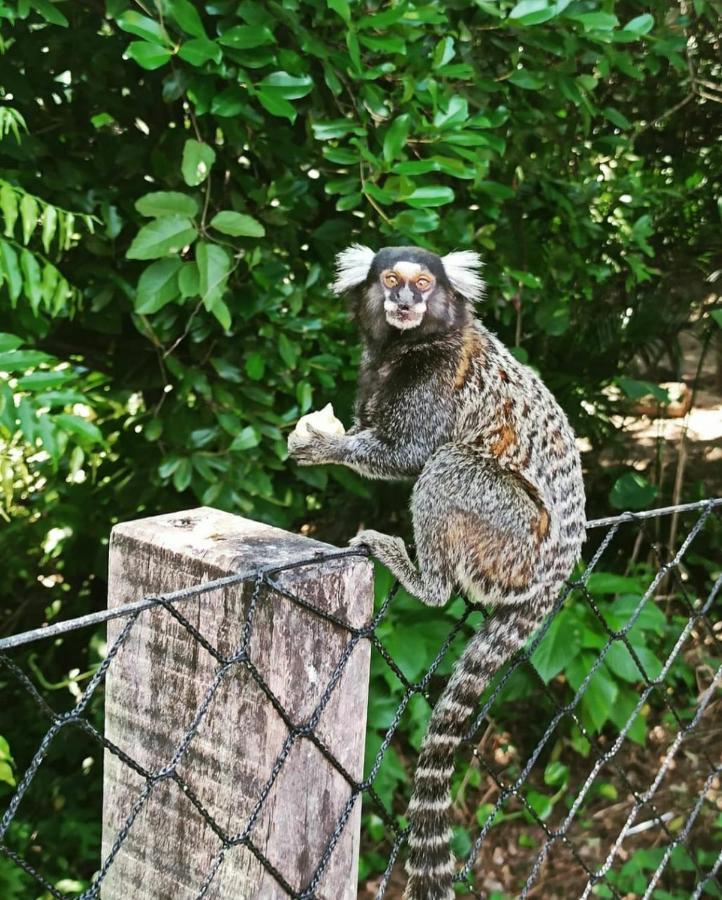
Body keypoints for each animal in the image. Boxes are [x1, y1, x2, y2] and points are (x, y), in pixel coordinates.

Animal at [286, 244, 584, 900]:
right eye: (391, 281)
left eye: (423, 285)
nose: (404, 301)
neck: (410, 346)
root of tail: (553, 572)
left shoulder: (435, 383)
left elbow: (410, 454)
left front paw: (325, 446)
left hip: (509, 534)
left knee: (447, 466)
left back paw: (424, 578)